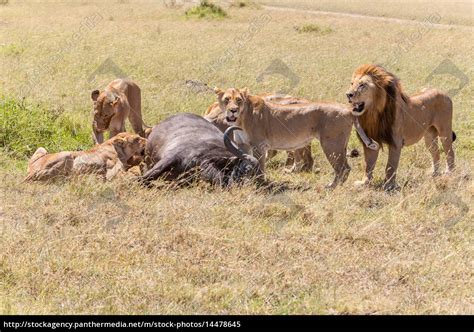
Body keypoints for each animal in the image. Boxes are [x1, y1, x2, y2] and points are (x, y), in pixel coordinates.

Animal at [213, 87, 354, 187]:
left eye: (239, 100)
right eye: (226, 100)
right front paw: (249, 181)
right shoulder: (243, 145)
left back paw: (332, 187)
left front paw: (259, 183)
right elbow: (246, 161)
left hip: (331, 144)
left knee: (342, 168)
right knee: (346, 168)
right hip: (341, 145)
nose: (233, 110)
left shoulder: (259, 145)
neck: (240, 119)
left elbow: (259, 165)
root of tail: (348, 108)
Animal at [346, 63, 458, 191]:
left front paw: (388, 185)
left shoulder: (396, 142)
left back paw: (449, 173)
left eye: (362, 85)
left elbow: (390, 166)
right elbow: (368, 165)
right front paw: (364, 182)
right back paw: (434, 173)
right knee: (436, 152)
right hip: (429, 136)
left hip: (444, 131)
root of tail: (444, 93)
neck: (373, 114)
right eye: (352, 83)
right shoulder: (370, 142)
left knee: (450, 152)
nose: (348, 94)